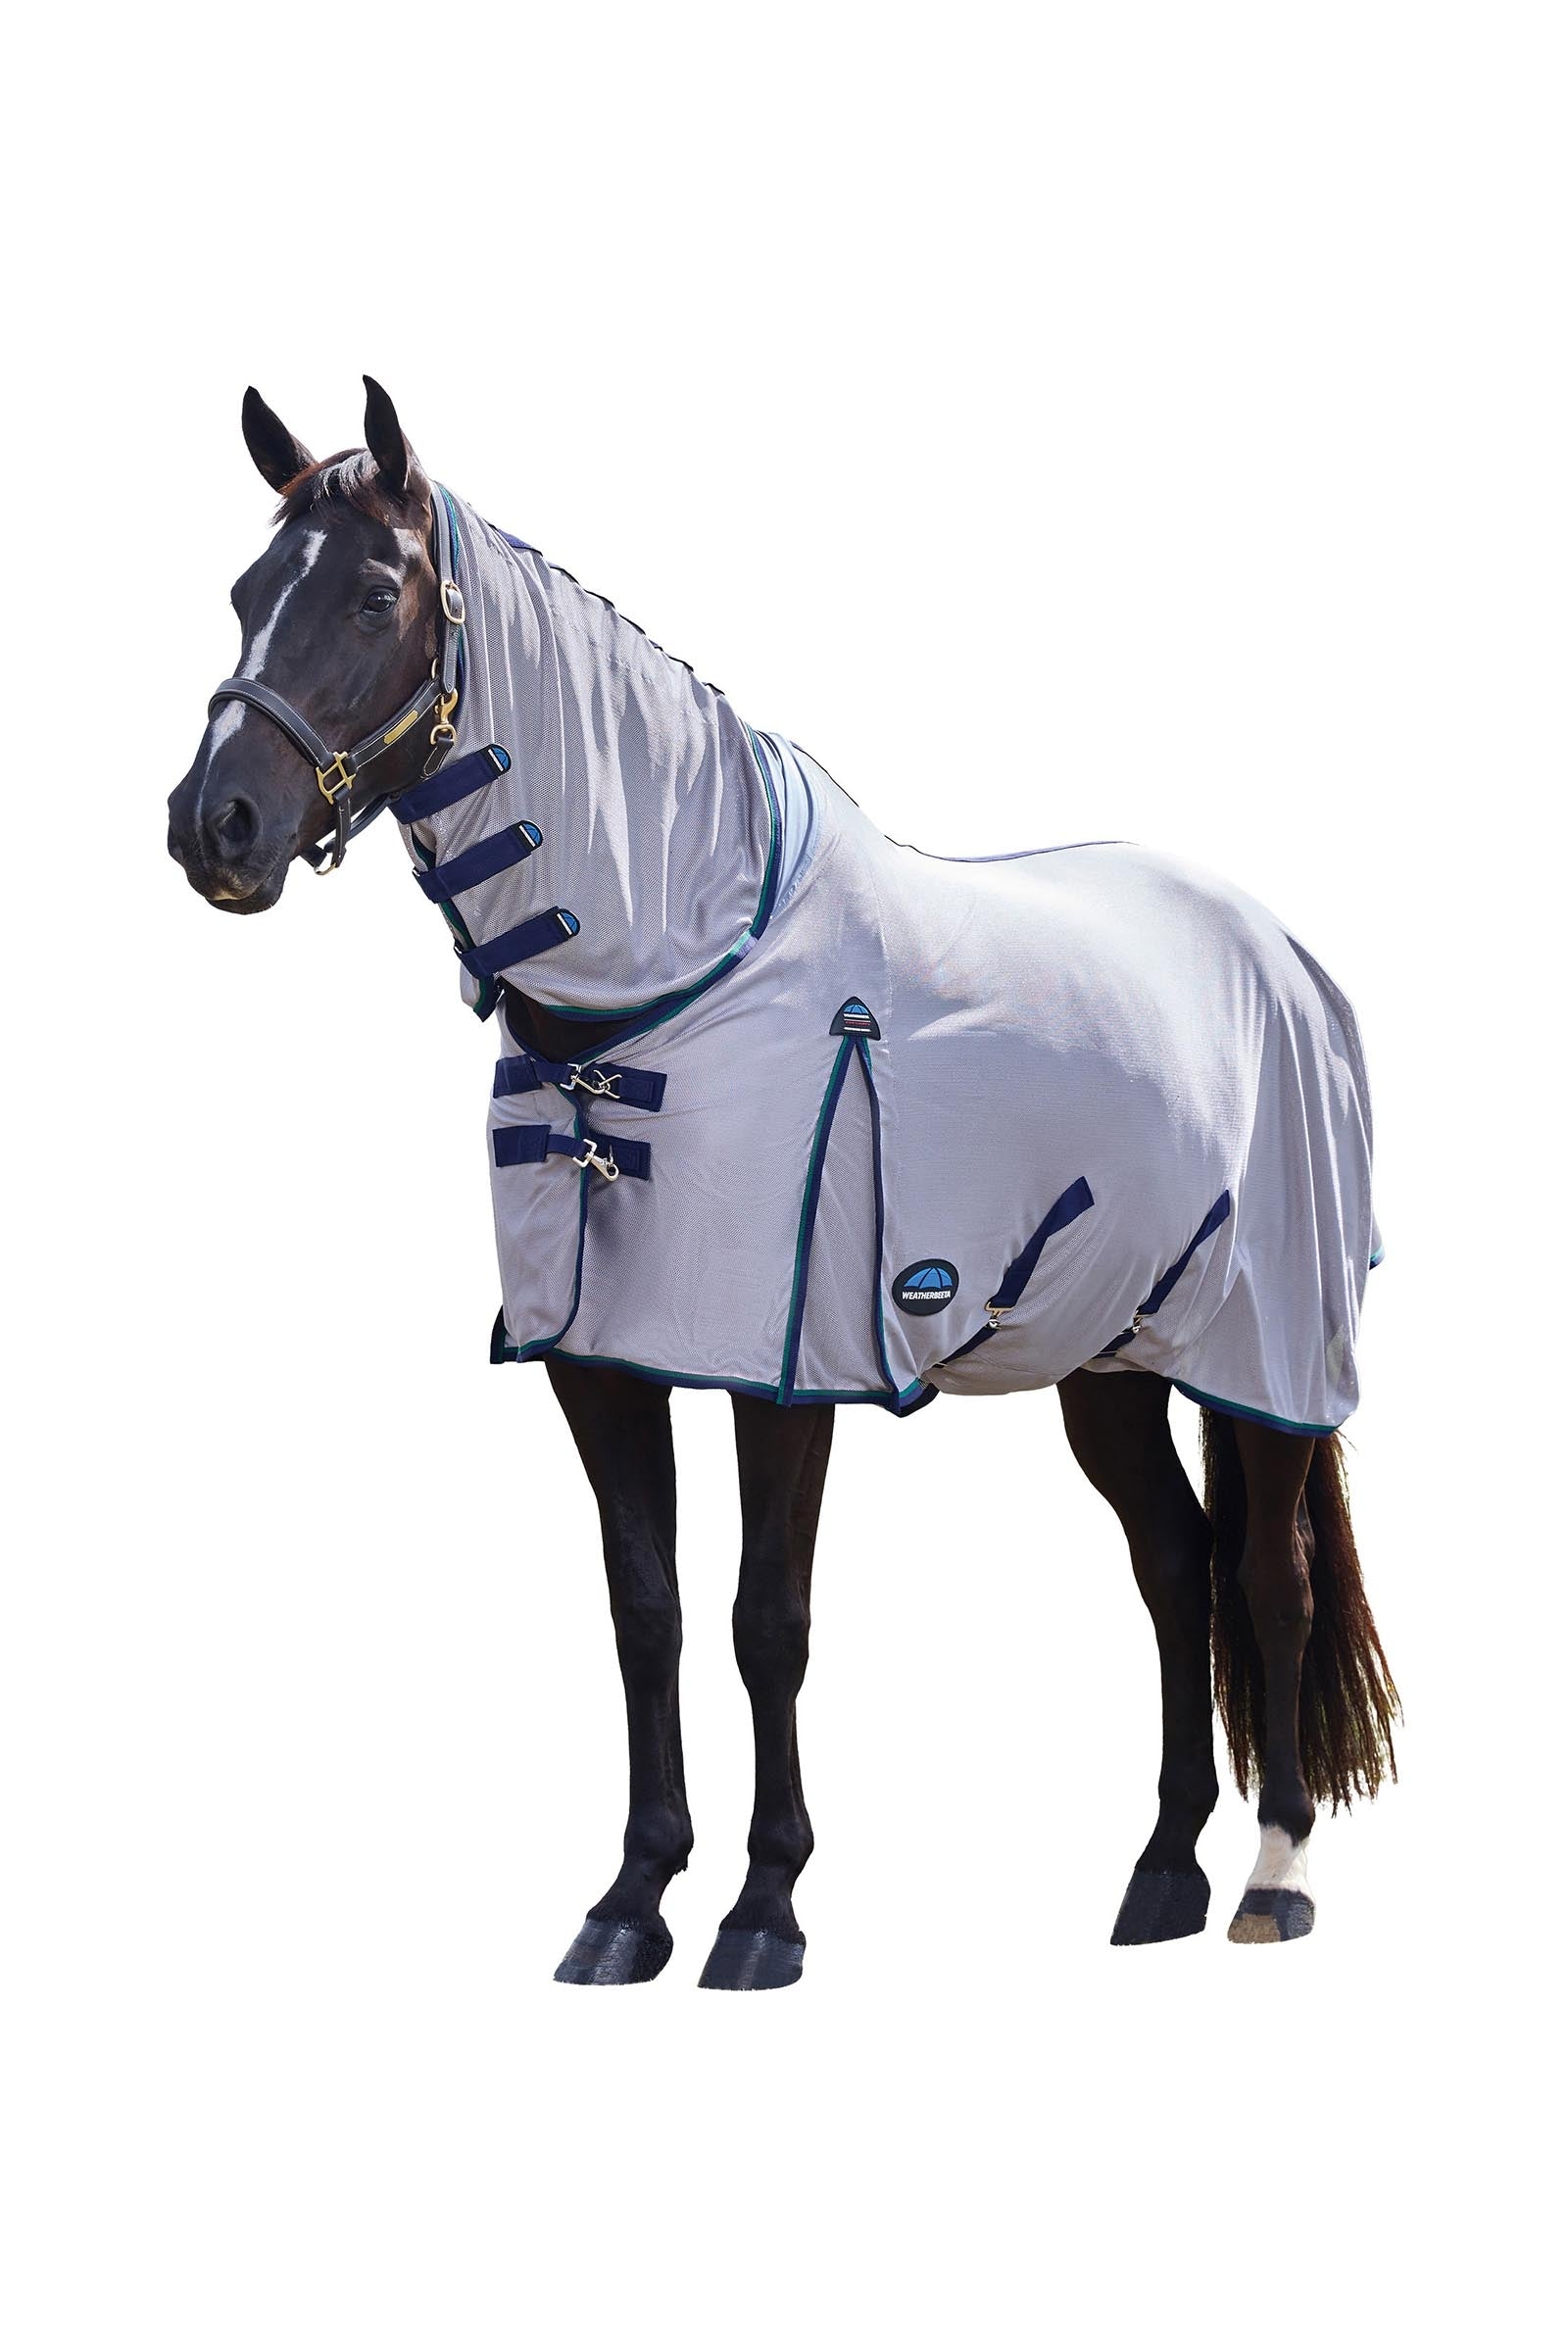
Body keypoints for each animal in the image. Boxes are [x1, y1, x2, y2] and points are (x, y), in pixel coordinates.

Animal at [166, 378, 1399, 1987]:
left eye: (376, 593)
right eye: (246, 593)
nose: (214, 827)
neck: (672, 973)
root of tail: (1283, 954)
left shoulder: (783, 1364)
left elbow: (770, 1620)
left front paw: (763, 1909)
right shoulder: (603, 1362)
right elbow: (649, 1613)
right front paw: (630, 1902)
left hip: (1265, 1354)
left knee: (1267, 1580)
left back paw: (1271, 1878)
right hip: (1112, 1359)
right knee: (1174, 1570)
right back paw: (1157, 1878)